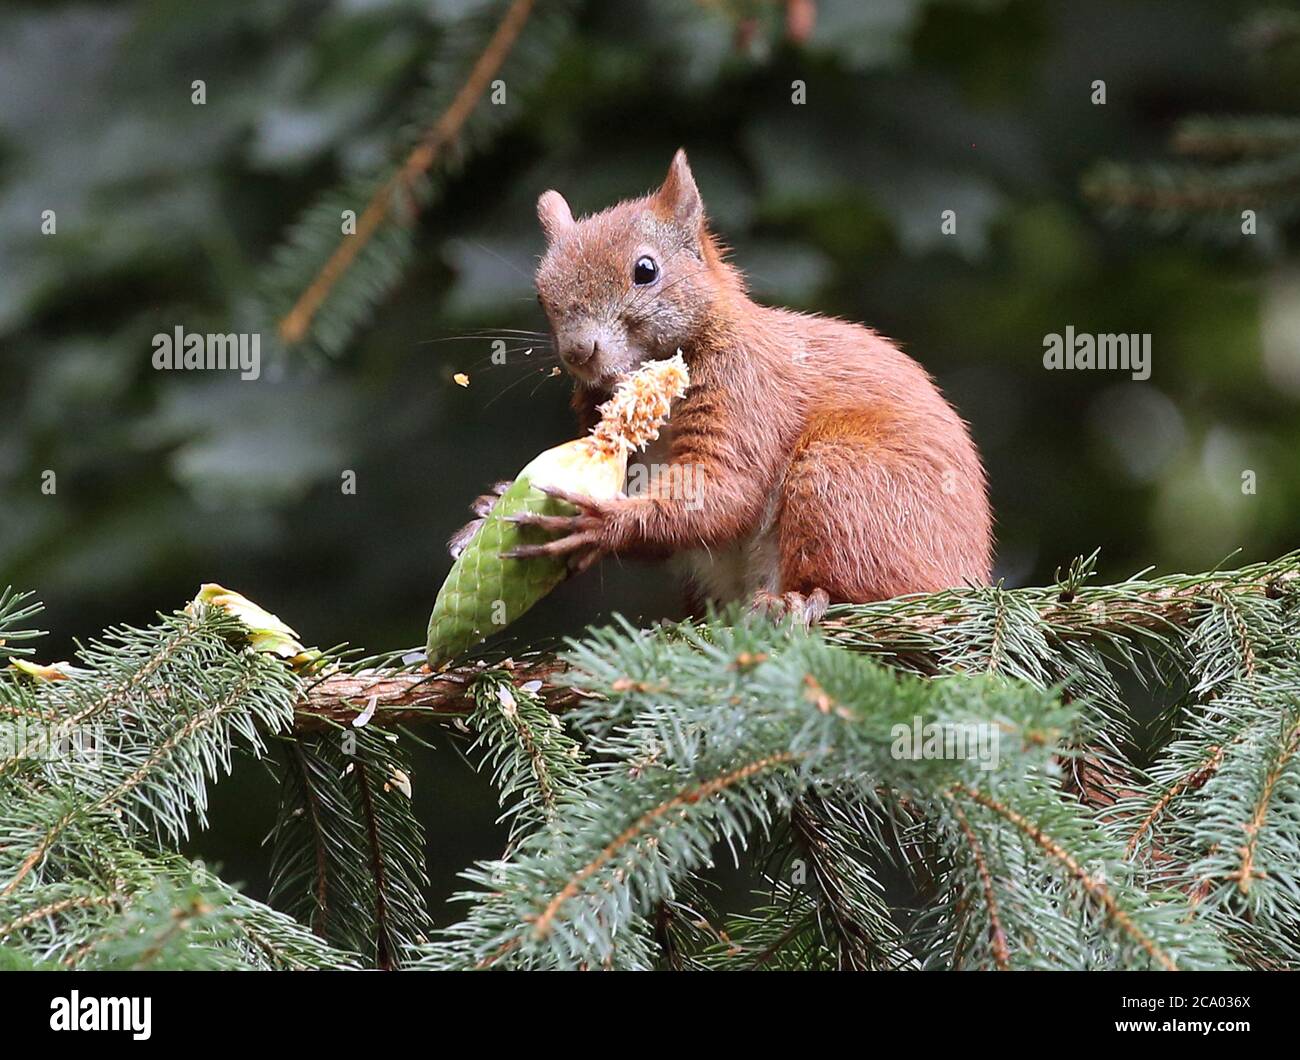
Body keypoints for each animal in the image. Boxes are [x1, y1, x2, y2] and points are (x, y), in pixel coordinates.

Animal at [462, 149, 987, 621]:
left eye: (646, 270)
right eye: (540, 295)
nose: (578, 352)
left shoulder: (746, 389)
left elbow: (725, 488)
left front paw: (603, 521)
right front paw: (490, 506)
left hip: (845, 485)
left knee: (856, 583)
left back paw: (796, 600)